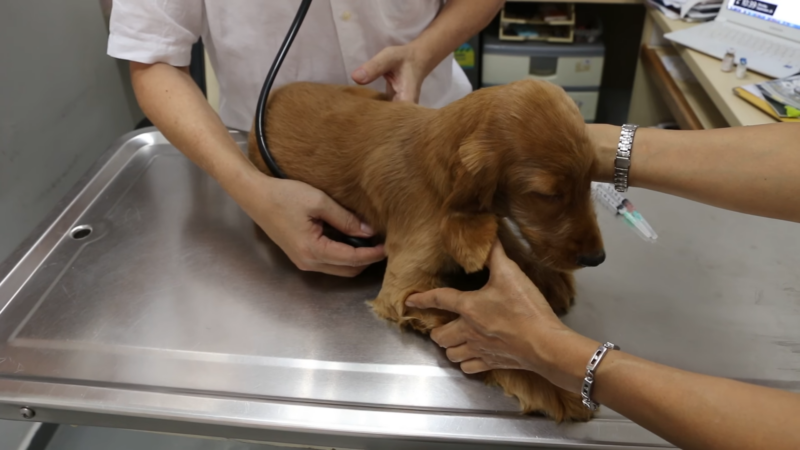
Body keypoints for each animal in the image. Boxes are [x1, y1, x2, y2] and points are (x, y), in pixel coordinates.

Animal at [247, 80, 604, 422]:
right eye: (548, 195)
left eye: (590, 180)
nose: (596, 258)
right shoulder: (406, 285)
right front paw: (552, 384)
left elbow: (507, 239)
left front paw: (547, 278)